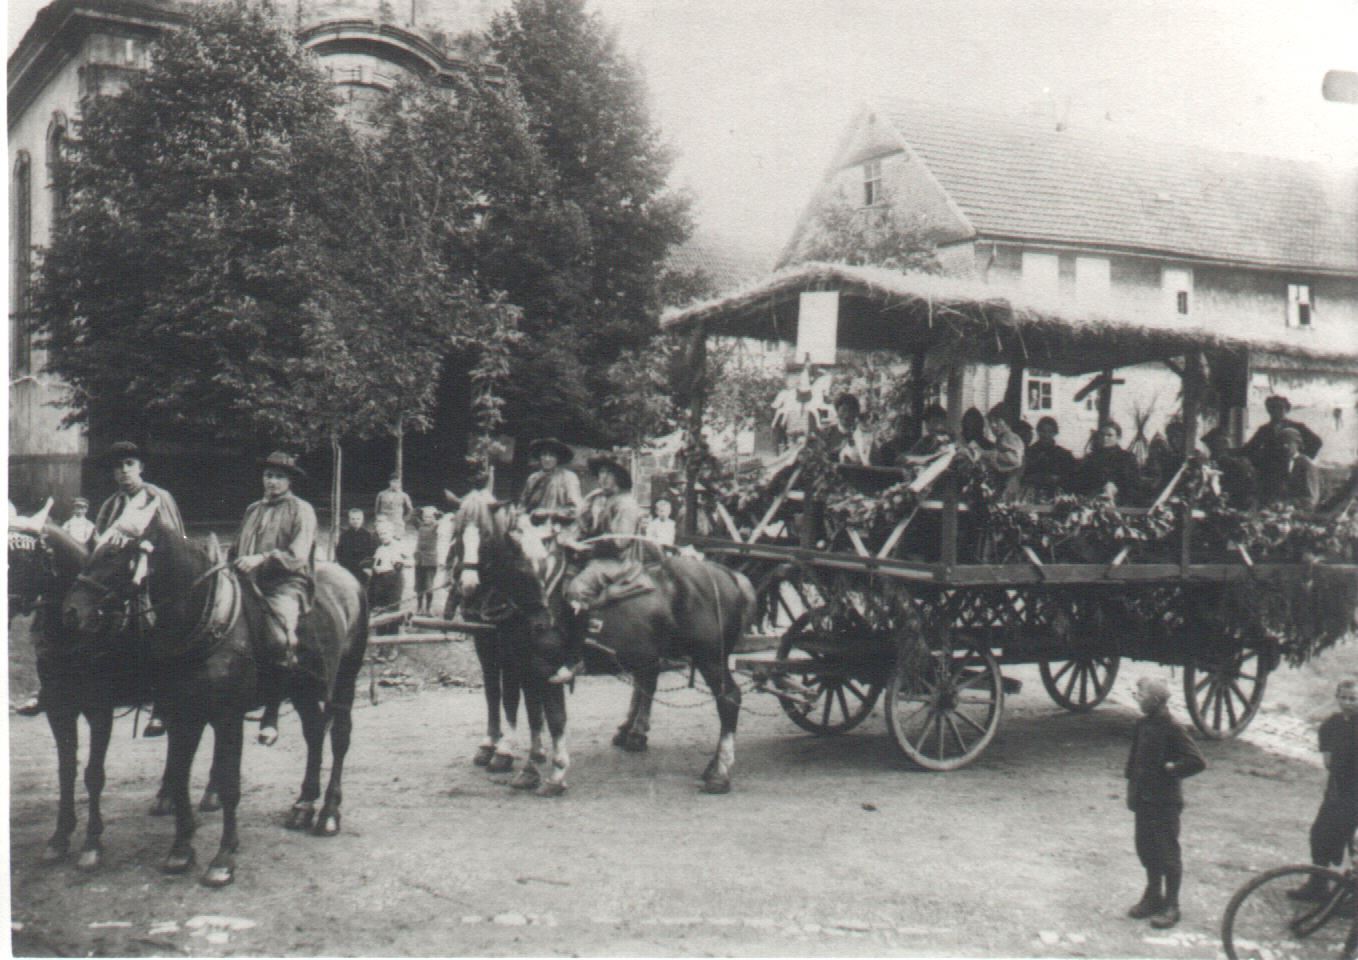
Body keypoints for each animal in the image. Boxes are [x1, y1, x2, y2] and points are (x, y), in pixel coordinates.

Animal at [62, 499, 366, 890]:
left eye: (114, 553)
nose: (71, 612)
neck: (203, 621)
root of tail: (349, 579)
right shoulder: (182, 714)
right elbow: (178, 776)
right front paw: (181, 849)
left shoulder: (227, 717)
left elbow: (230, 783)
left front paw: (223, 859)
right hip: (301, 691)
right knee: (314, 734)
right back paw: (303, 805)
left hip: (344, 682)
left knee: (339, 738)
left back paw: (328, 813)